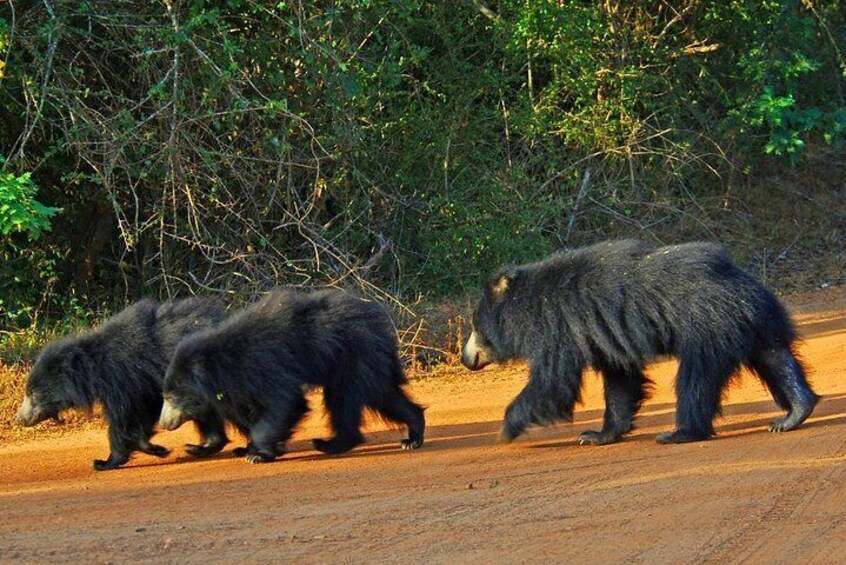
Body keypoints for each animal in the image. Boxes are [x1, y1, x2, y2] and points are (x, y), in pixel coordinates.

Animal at [19, 298, 232, 470]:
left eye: (32, 394)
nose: (19, 419)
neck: (94, 368)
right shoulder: (144, 385)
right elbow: (144, 412)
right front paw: (155, 448)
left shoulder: (123, 379)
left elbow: (124, 417)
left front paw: (104, 462)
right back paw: (200, 447)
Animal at [158, 288, 428, 460]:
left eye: (171, 398)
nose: (163, 424)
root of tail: (379, 324)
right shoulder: (241, 385)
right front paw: (247, 449)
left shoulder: (266, 366)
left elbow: (286, 403)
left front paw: (259, 454)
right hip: (363, 361)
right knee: (383, 395)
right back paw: (410, 436)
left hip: (354, 357)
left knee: (346, 400)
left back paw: (331, 443)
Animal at [464, 240, 820, 448]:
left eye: (476, 327)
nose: (466, 359)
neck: (526, 303)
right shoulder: (603, 336)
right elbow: (621, 380)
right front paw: (596, 435)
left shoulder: (557, 327)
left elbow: (553, 382)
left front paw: (505, 430)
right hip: (754, 321)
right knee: (775, 357)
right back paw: (793, 414)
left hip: (708, 326)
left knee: (696, 379)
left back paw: (679, 433)